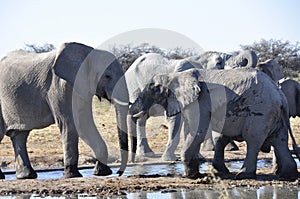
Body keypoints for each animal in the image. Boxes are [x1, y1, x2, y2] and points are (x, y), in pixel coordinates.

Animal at [125, 49, 256, 162]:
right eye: (219, 63)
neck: (198, 59)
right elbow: (175, 119)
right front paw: (170, 159)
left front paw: (198, 158)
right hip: (133, 86)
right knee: (141, 118)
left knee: (141, 118)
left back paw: (146, 154)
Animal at [129, 67, 298, 180]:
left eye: (151, 91)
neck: (174, 75)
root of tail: (280, 96)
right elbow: (196, 131)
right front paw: (199, 173)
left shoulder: (198, 101)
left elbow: (198, 130)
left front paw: (191, 176)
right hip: (274, 114)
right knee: (279, 140)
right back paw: (288, 174)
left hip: (261, 111)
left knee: (253, 140)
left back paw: (243, 174)